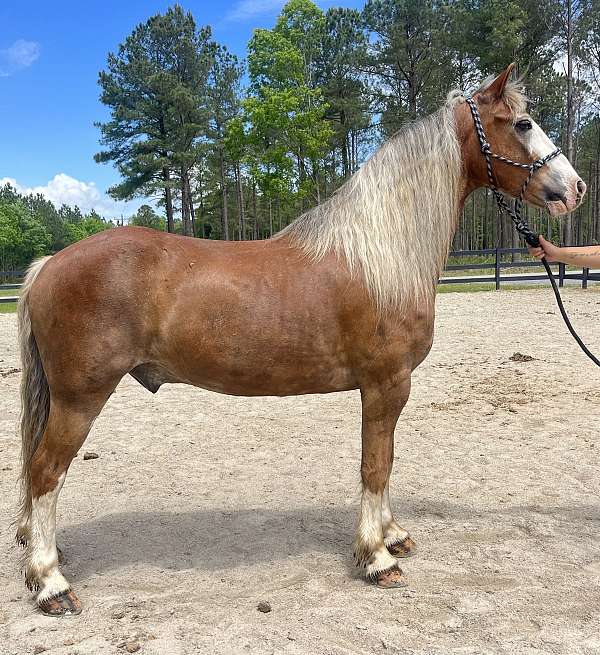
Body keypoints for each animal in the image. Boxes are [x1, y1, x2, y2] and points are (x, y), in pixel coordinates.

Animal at [15, 64, 584, 616]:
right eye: (522, 124)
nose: (575, 188)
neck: (381, 257)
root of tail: (50, 264)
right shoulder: (385, 385)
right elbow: (374, 464)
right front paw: (376, 557)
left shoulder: (389, 390)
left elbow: (387, 459)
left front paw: (393, 535)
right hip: (80, 398)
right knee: (45, 472)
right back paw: (50, 585)